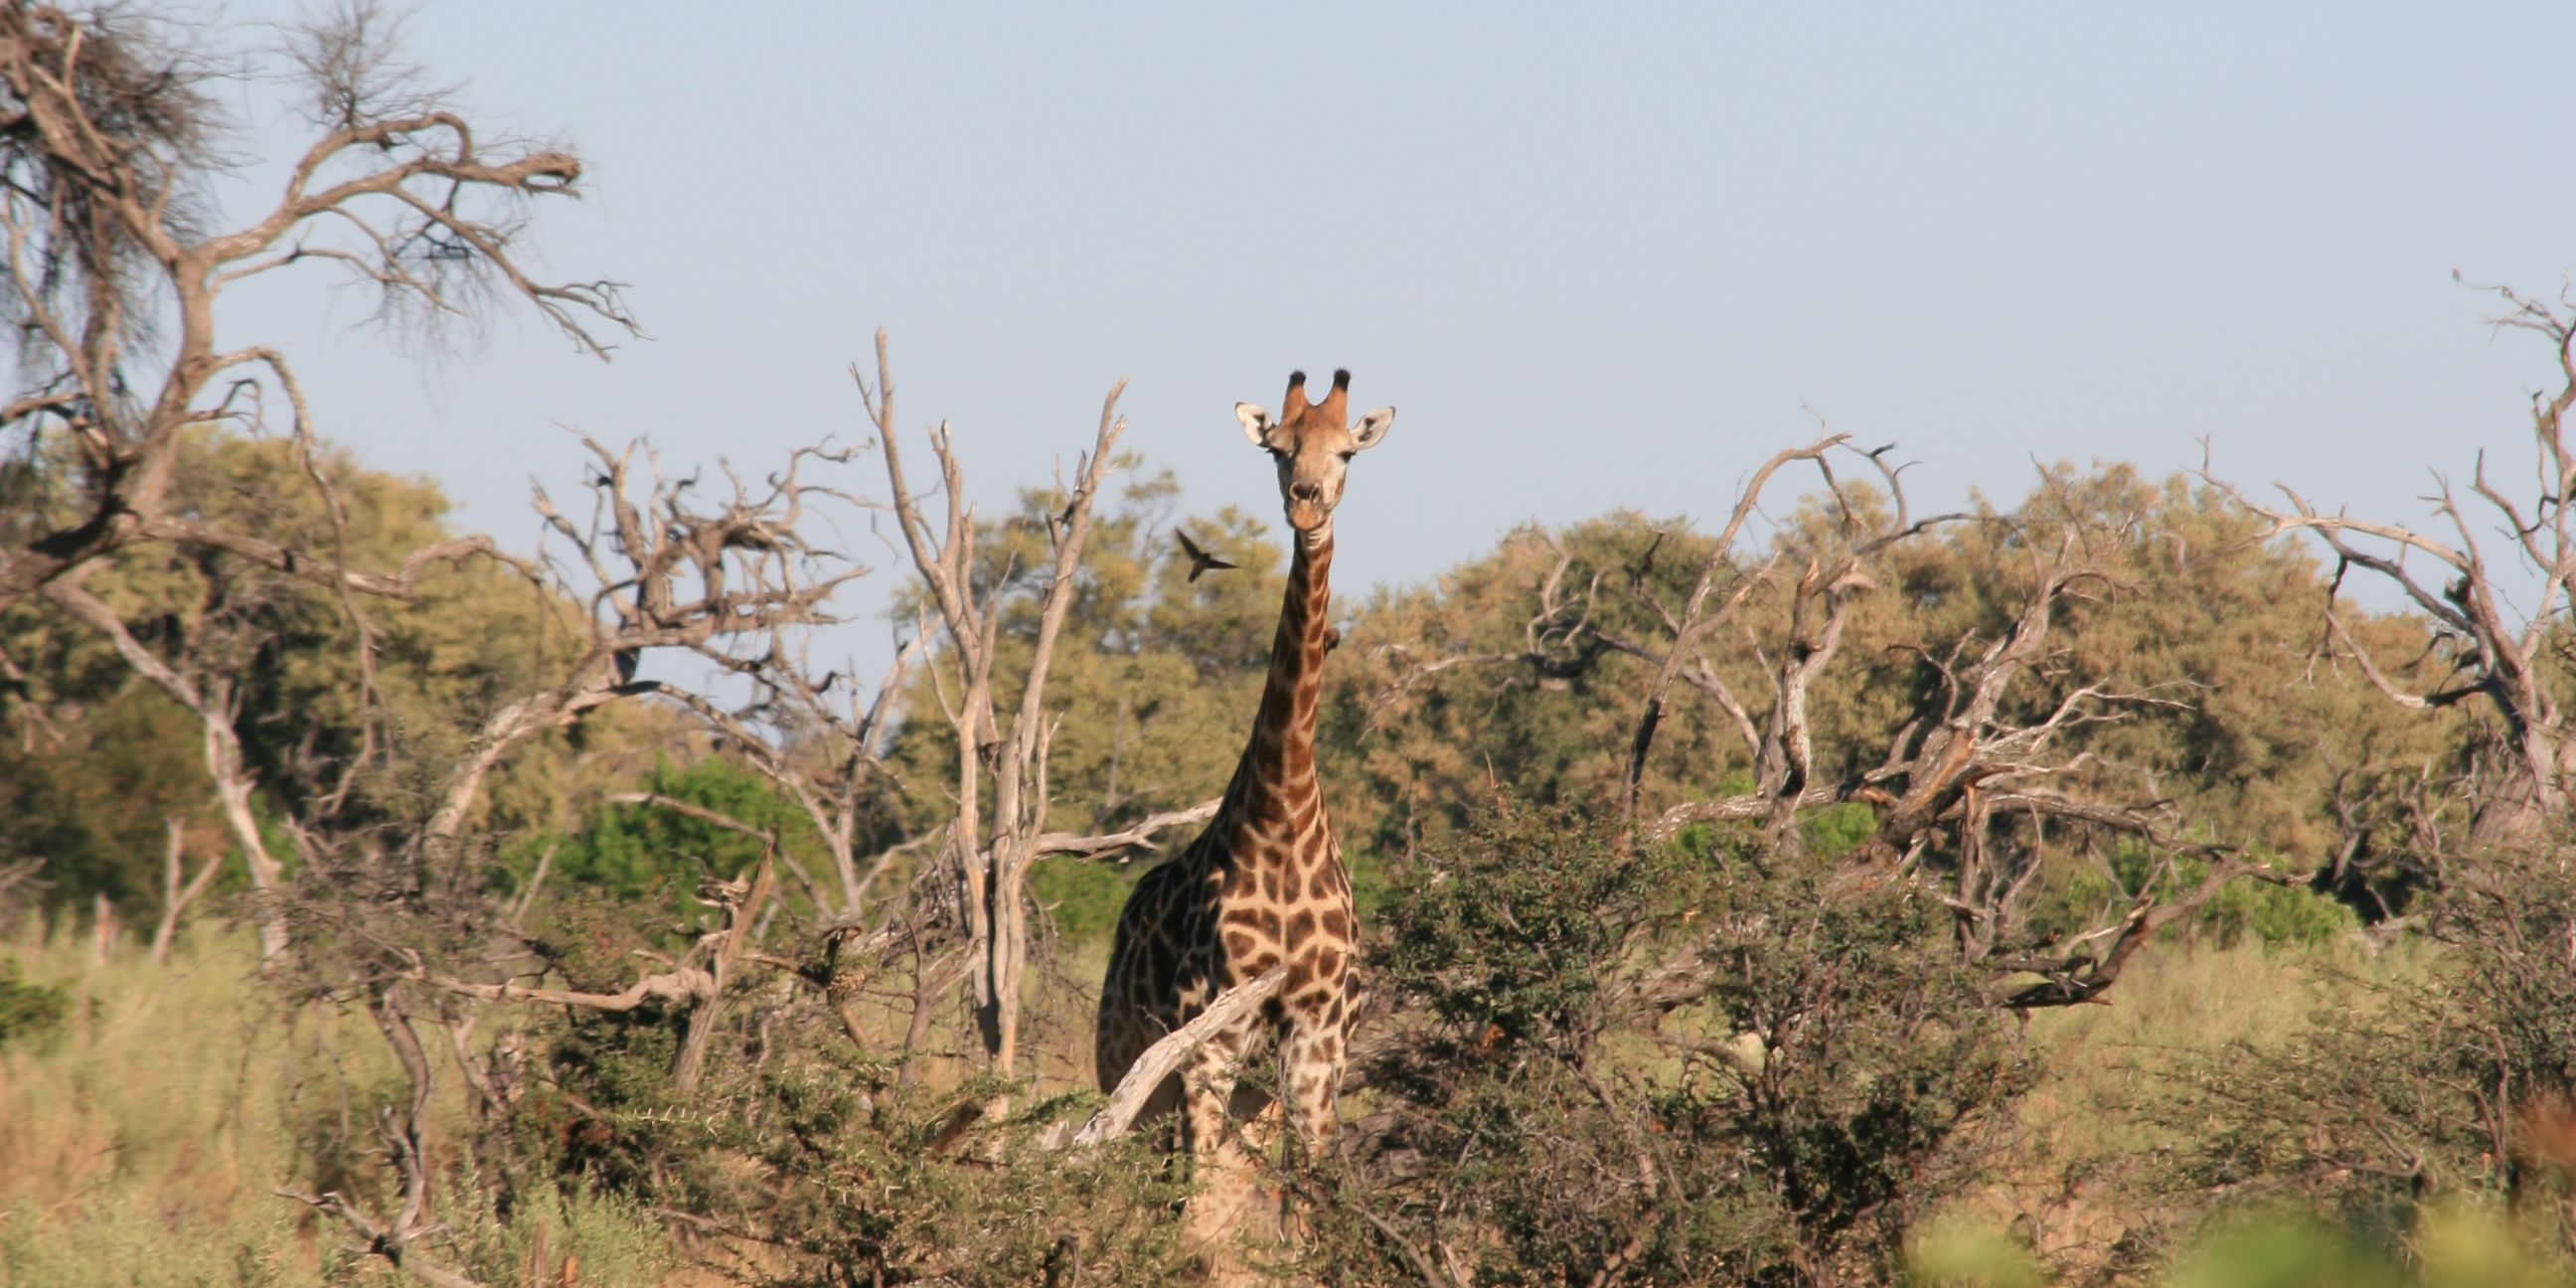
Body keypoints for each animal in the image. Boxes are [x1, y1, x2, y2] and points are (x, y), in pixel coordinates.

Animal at [1096, 367, 1395, 1172]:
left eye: (1347, 452)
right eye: (1278, 450)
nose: (1307, 502)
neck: (1283, 809)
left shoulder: (1318, 1045)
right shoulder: (1211, 1040)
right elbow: (1197, 1199)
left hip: (1251, 1088)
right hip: (1130, 1066)